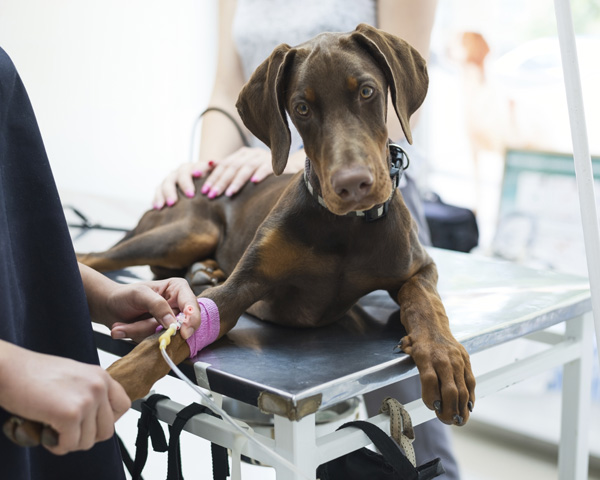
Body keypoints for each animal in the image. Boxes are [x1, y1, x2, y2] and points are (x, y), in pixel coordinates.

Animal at [78, 24, 474, 426]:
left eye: (366, 91)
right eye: (302, 108)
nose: (352, 185)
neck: (345, 228)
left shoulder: (419, 266)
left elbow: (424, 301)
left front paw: (443, 357)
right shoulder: (241, 287)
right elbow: (166, 341)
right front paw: (110, 385)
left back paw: (206, 270)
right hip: (186, 232)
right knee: (94, 255)